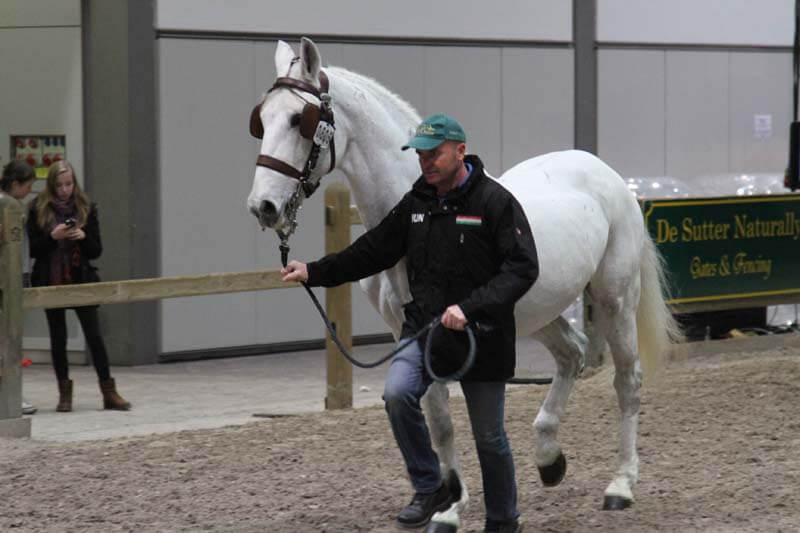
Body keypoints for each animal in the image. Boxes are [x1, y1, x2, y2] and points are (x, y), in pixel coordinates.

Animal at [247, 37, 682, 527]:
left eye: (296, 120)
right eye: (262, 119)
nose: (263, 206)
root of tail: (605, 173)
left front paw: (452, 506)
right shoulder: (407, 332)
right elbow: (438, 422)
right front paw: (443, 504)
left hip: (616, 299)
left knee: (627, 380)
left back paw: (620, 486)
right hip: (535, 313)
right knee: (573, 353)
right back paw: (549, 458)